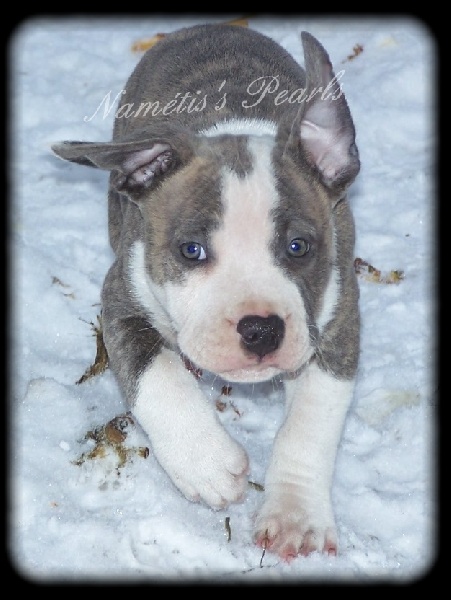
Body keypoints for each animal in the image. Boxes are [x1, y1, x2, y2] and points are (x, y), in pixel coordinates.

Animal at [52, 23, 360, 561]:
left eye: (299, 247)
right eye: (191, 250)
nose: (260, 330)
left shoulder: (339, 321)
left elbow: (312, 422)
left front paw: (296, 515)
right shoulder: (121, 301)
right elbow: (156, 376)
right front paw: (207, 462)